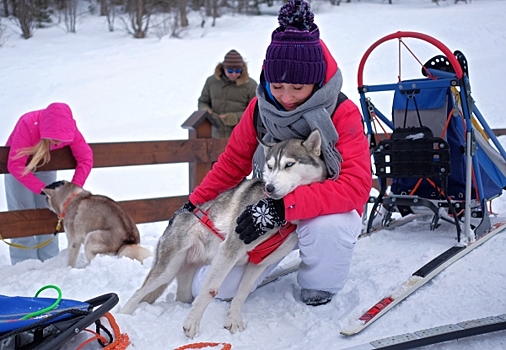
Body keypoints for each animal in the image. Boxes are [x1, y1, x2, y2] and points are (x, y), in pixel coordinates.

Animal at [119, 129, 328, 340]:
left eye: (289, 164)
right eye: (270, 166)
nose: (268, 188)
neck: (279, 219)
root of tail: (177, 218)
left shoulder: (260, 262)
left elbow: (242, 292)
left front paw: (233, 320)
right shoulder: (229, 251)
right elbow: (210, 290)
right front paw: (192, 323)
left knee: (181, 296)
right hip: (167, 269)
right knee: (138, 293)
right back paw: (123, 317)